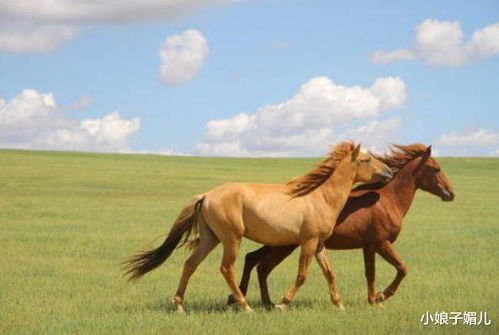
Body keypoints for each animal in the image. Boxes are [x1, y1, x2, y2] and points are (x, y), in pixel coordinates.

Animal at [122, 142, 394, 312]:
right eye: (367, 159)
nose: (389, 173)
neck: (320, 197)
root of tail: (206, 195)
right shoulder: (307, 242)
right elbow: (302, 275)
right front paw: (282, 303)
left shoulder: (319, 244)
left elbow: (330, 272)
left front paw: (339, 304)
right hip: (231, 239)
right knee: (227, 268)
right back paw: (245, 306)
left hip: (211, 238)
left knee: (190, 264)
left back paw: (179, 305)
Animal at [230, 143, 458, 308]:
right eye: (436, 169)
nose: (451, 194)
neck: (387, 201)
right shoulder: (381, 243)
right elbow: (402, 268)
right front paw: (382, 296)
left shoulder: (369, 246)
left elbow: (370, 273)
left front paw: (372, 301)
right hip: (284, 246)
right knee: (260, 265)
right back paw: (260, 301)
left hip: (280, 245)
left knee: (255, 261)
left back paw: (251, 300)